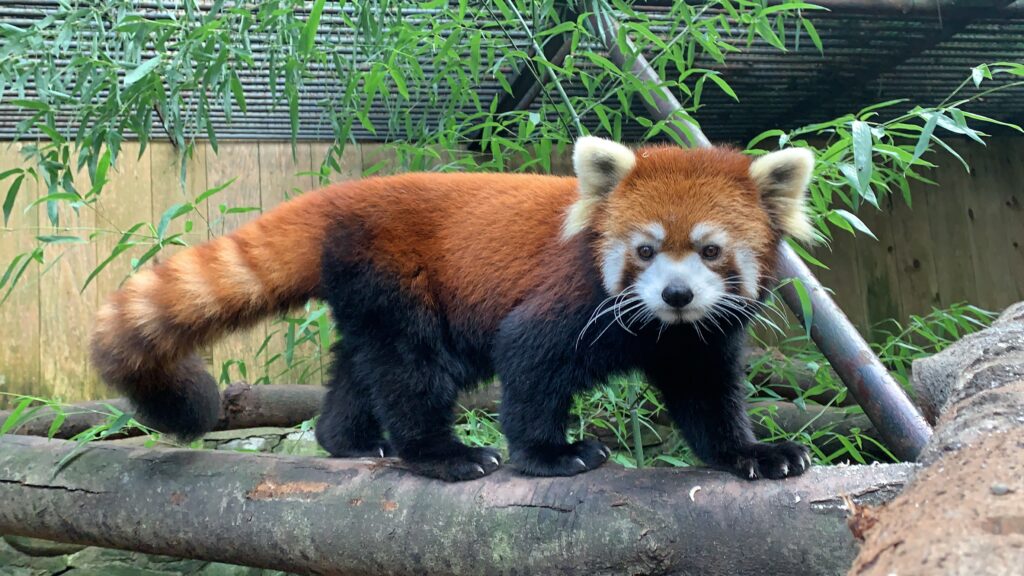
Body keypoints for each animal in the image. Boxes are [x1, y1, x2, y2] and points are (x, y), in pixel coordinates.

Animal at [94, 138, 815, 479]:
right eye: (644, 250)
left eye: (711, 251)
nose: (676, 294)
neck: (660, 328)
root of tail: (339, 197)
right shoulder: (569, 302)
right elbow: (529, 362)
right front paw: (550, 453)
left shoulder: (700, 338)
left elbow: (707, 396)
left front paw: (753, 454)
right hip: (398, 275)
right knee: (411, 369)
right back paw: (441, 454)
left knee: (362, 365)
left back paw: (351, 441)